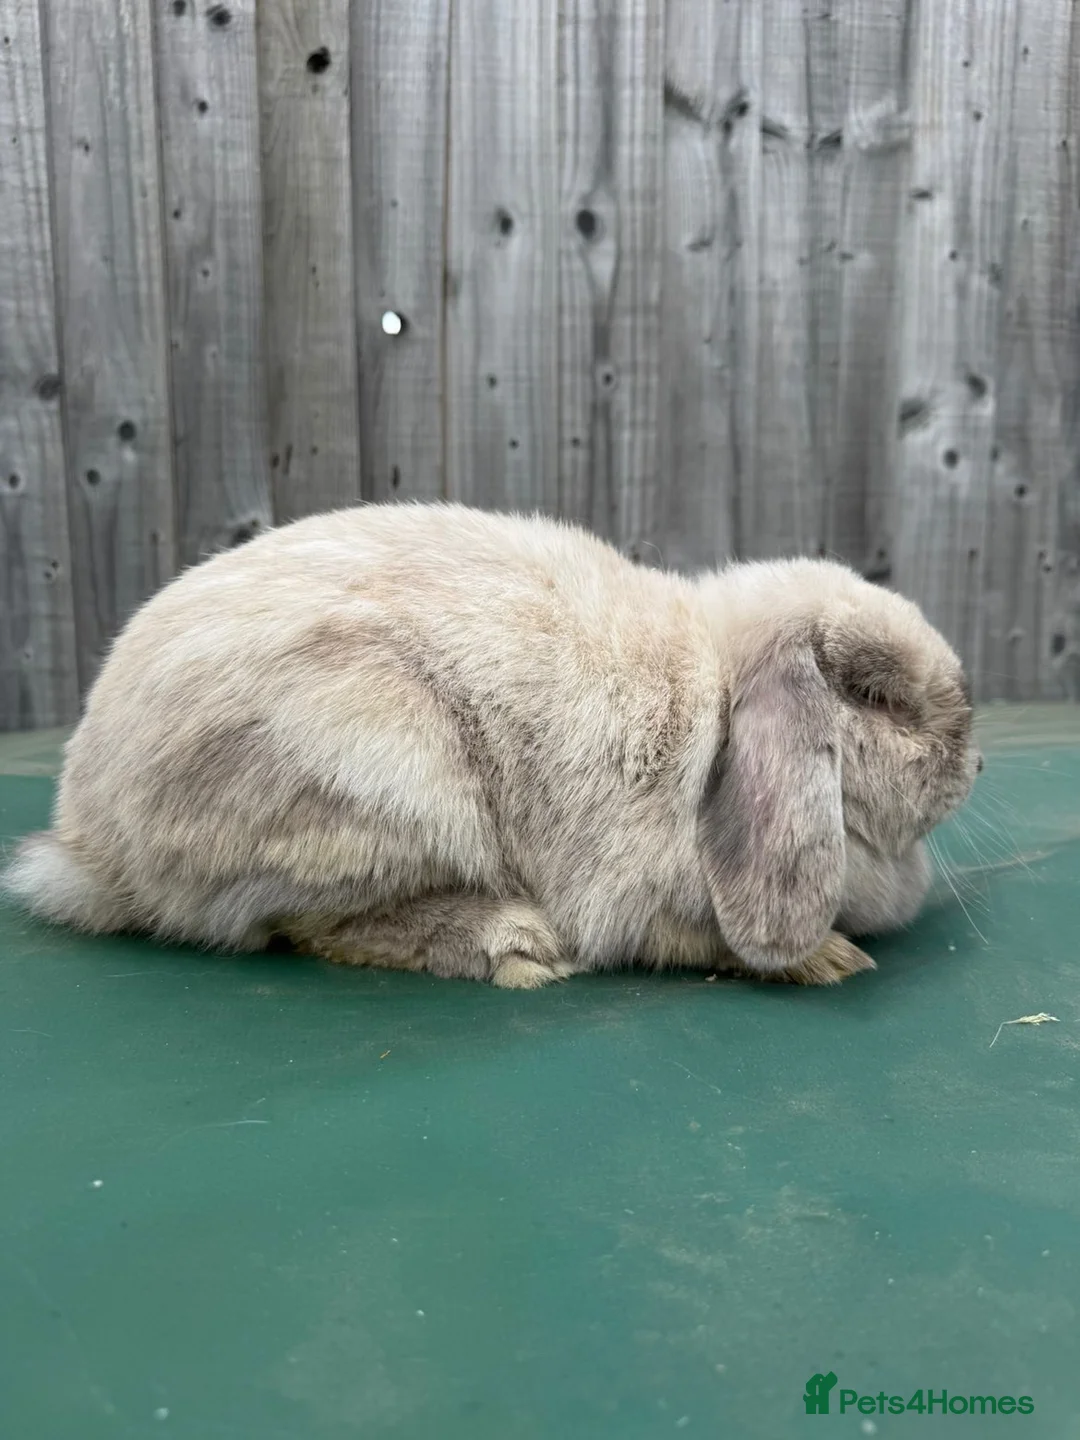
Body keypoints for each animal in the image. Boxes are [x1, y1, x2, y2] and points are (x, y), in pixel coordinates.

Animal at [2, 501, 981, 988]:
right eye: (877, 698)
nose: (975, 762)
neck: (714, 709)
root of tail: (90, 843)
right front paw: (828, 959)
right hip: (384, 775)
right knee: (303, 927)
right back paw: (517, 945)